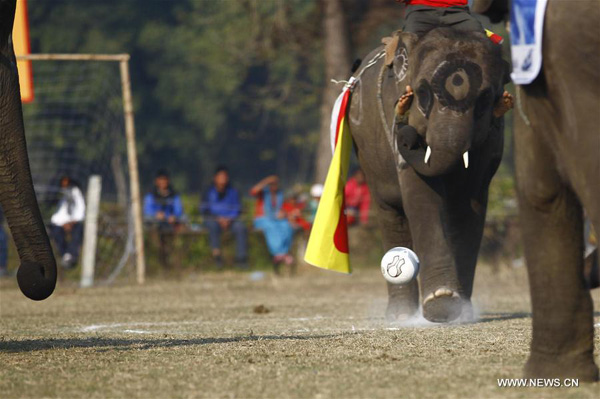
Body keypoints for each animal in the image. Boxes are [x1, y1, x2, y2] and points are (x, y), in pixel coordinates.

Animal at [350, 26, 508, 324]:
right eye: (422, 93)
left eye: (484, 99)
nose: (406, 134)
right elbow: (420, 195)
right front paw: (441, 306)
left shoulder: (492, 137)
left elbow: (468, 204)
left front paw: (459, 310)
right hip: (367, 156)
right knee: (390, 211)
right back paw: (400, 316)